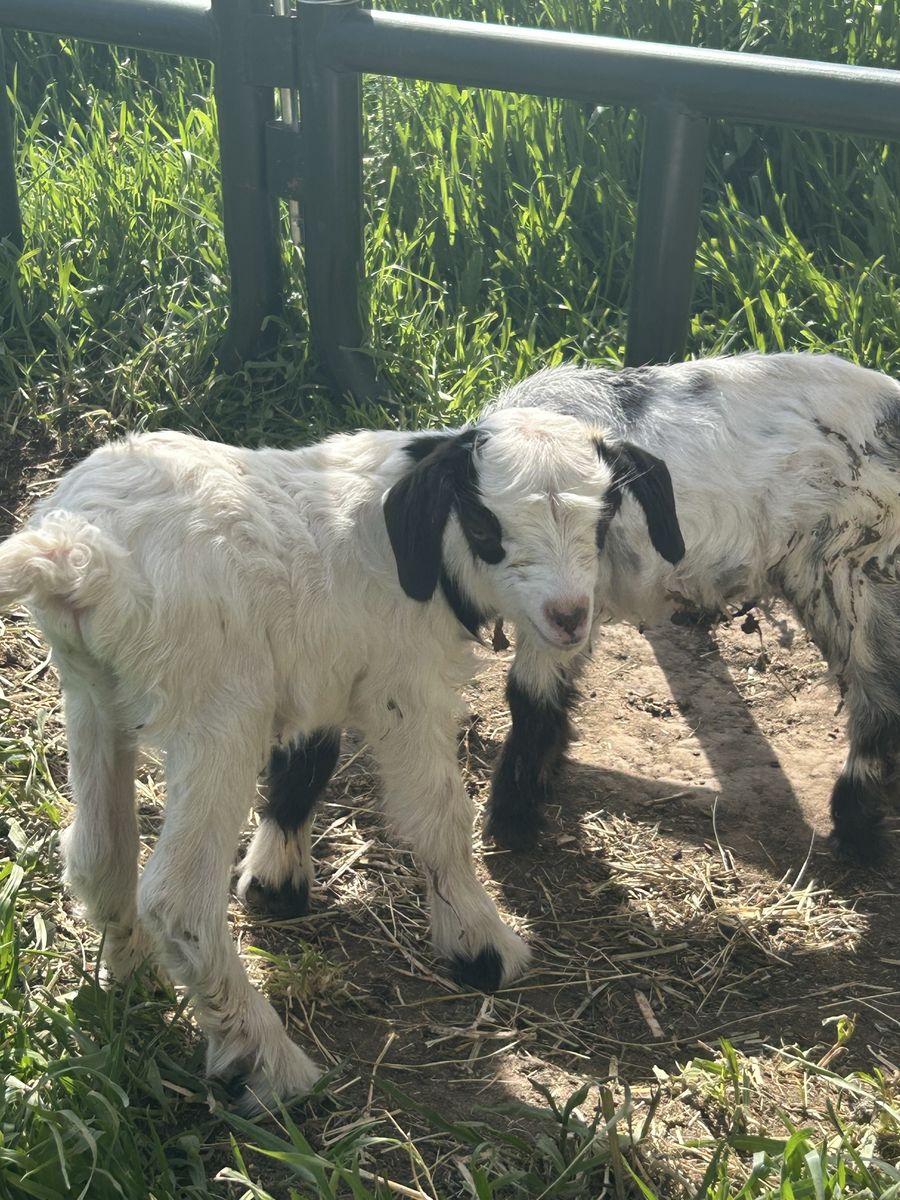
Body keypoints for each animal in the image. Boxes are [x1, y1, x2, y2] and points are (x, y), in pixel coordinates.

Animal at [0, 407, 632, 1111]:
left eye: (603, 518)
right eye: (484, 526)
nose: (569, 617)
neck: (420, 545)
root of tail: (77, 554)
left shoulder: (323, 672)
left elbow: (307, 762)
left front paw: (278, 882)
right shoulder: (402, 685)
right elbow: (440, 816)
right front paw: (480, 946)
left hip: (93, 694)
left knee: (97, 853)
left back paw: (137, 983)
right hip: (219, 711)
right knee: (177, 899)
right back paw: (268, 1064)